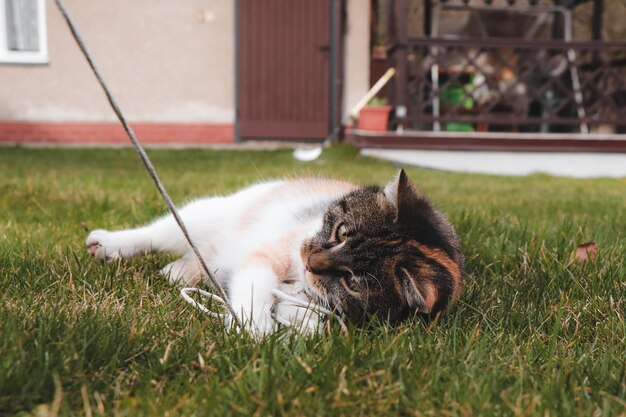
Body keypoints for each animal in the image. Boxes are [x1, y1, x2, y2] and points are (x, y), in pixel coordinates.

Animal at [85, 169, 460, 334]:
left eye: (353, 281)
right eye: (341, 231)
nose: (309, 262)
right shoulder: (276, 250)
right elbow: (256, 285)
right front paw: (256, 329)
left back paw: (179, 271)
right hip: (209, 215)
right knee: (158, 232)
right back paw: (108, 243)